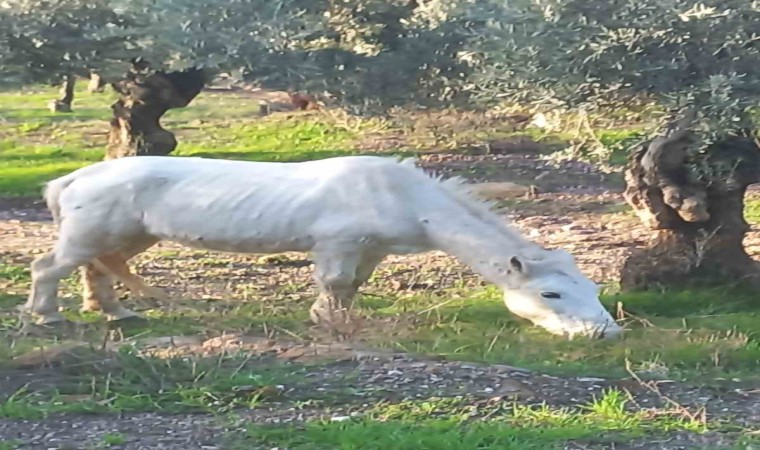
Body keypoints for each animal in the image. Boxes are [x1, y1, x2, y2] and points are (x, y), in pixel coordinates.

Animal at [22, 154, 624, 338]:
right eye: (550, 295)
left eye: (593, 289)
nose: (605, 333)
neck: (406, 197)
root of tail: (71, 178)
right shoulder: (337, 242)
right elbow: (335, 283)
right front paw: (328, 323)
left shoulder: (371, 248)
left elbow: (353, 285)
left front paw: (339, 319)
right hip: (90, 233)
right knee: (48, 266)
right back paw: (46, 316)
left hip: (125, 234)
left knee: (97, 268)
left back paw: (116, 312)